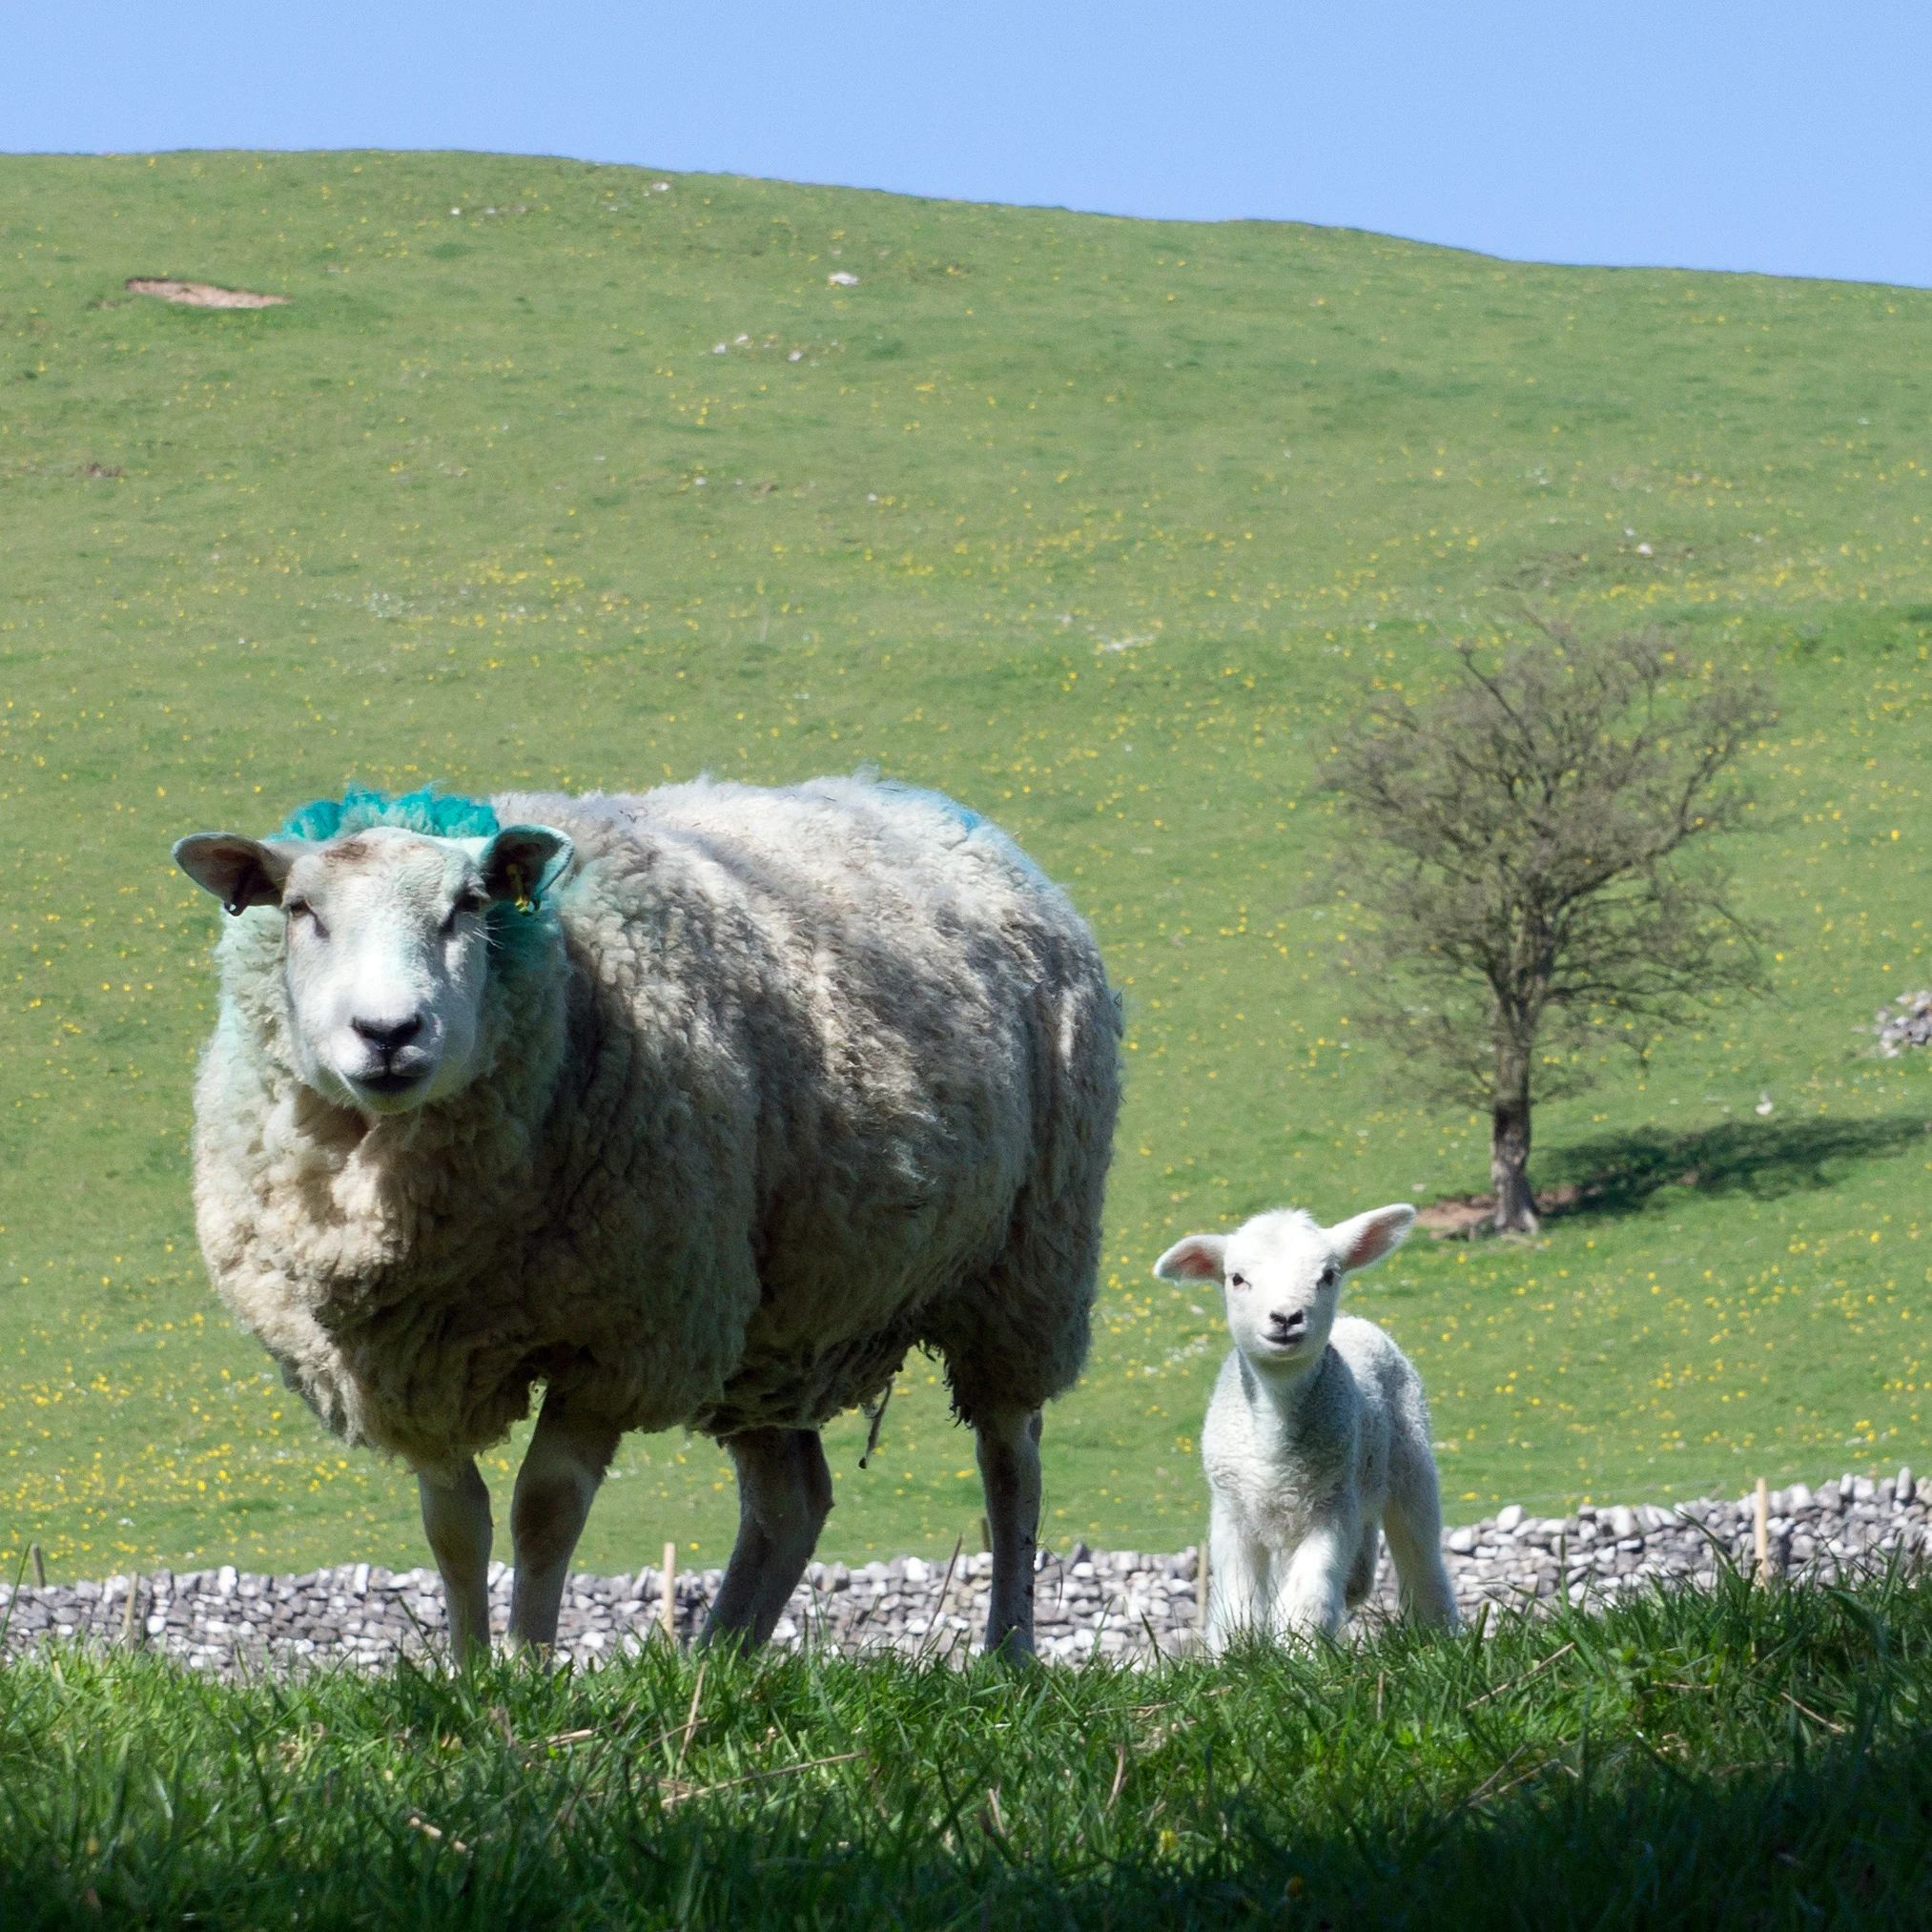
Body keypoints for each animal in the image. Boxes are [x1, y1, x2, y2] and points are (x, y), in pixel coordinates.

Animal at [172, 777, 1120, 1664]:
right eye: (301, 910)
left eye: (469, 906)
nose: (389, 1033)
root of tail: (937, 811)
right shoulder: (412, 1365)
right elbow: (455, 1525)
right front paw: (471, 1677)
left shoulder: (619, 1339)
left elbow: (544, 1511)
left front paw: (528, 1671)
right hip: (769, 1329)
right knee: (792, 1500)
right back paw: (721, 1663)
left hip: (1029, 1262)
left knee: (1009, 1460)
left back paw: (1009, 1653)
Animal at [1154, 1205, 1457, 1648]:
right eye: (1237, 1278)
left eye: (1328, 1275)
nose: (1286, 1318)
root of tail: (1355, 1322)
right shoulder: (1232, 1512)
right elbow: (1238, 1601)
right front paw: (1237, 1652)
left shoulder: (1331, 1508)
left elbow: (1307, 1598)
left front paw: (1301, 1651)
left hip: (1410, 1466)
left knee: (1421, 1558)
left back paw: (1438, 1634)